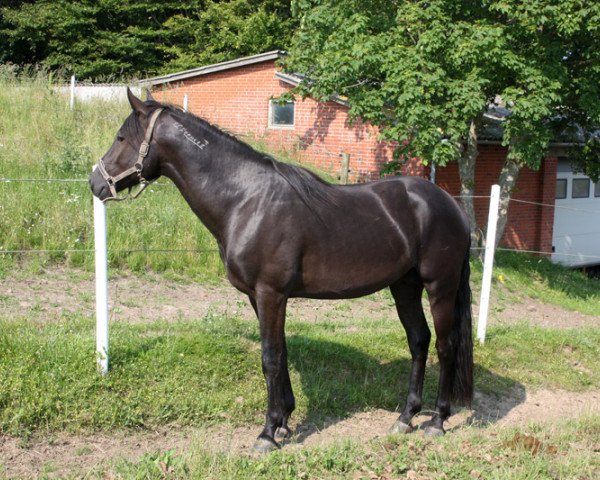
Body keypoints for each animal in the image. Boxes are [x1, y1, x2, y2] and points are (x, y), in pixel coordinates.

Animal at [89, 90, 474, 454]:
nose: (96, 183)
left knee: (445, 345)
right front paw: (285, 421)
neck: (245, 200)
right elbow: (281, 352)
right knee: (419, 340)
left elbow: (270, 357)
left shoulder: (270, 293)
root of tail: (449, 204)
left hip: (439, 287)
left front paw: (267, 433)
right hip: (404, 287)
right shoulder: (259, 297)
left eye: (121, 137)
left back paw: (438, 420)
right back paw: (406, 417)